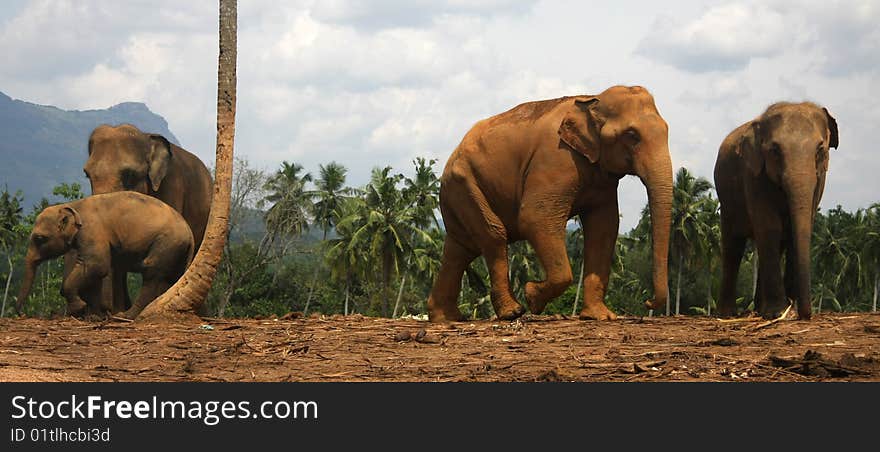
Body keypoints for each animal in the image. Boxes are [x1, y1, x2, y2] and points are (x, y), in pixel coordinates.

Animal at [15, 192, 196, 320]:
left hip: (166, 243)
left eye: (39, 238)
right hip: (177, 251)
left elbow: (97, 265)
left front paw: (78, 308)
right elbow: (96, 271)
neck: (73, 205)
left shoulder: (92, 231)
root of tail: (189, 232)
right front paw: (94, 316)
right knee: (172, 278)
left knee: (151, 273)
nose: (21, 314)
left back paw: (125, 317)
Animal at [68, 123, 211, 314]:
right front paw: (119, 311)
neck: (146, 137)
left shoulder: (172, 185)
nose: (105, 311)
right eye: (87, 174)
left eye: (129, 174)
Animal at [428, 85, 672, 324]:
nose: (647, 302)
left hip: (460, 193)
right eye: (632, 135)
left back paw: (446, 317)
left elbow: (604, 228)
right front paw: (532, 297)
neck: (592, 98)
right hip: (464, 184)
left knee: (460, 249)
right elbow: (535, 217)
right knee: (493, 236)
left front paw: (600, 316)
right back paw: (512, 312)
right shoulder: (555, 158)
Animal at [716, 102, 840, 322]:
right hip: (728, 202)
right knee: (733, 246)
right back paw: (728, 314)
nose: (804, 314)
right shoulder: (753, 175)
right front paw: (777, 313)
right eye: (774, 150)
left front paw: (784, 312)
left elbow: (795, 229)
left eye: (820, 150)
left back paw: (759, 309)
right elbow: (769, 227)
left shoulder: (820, 180)